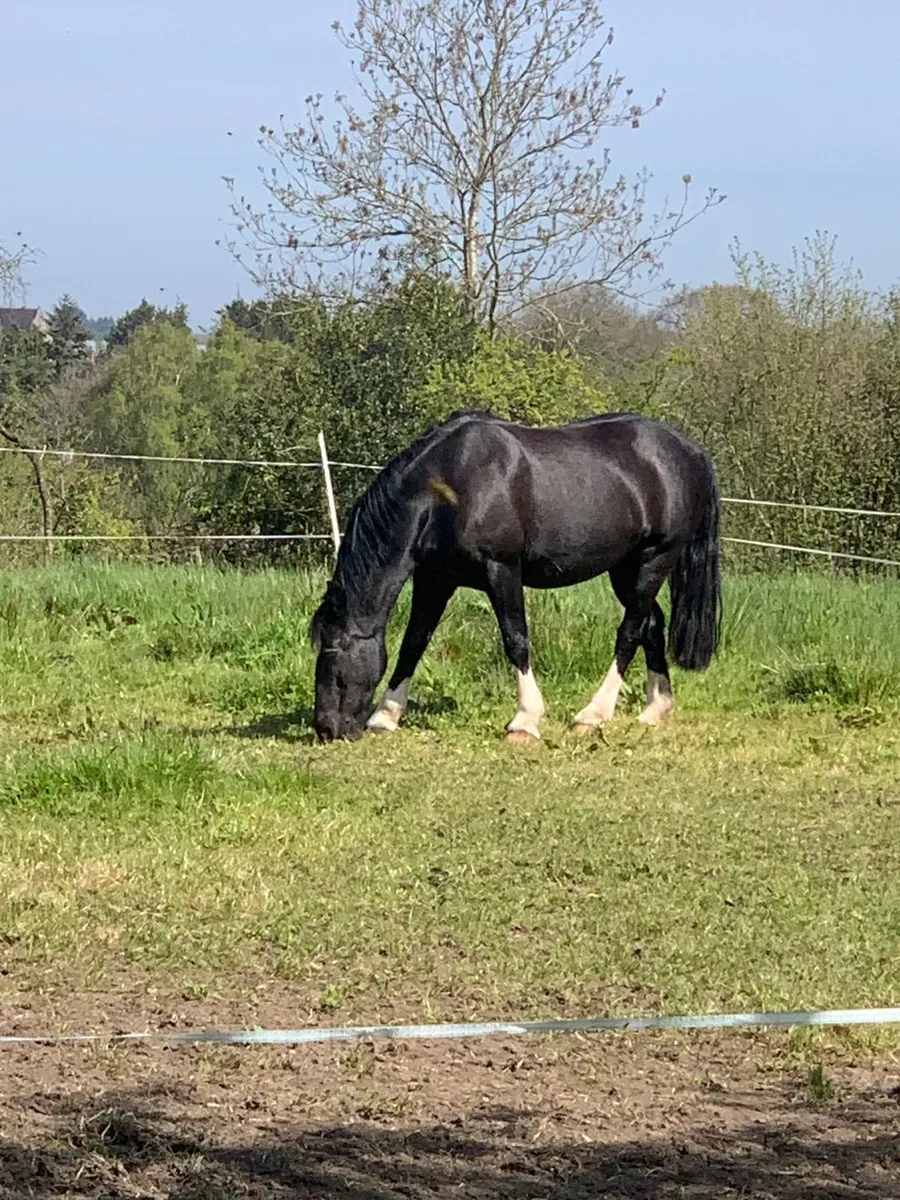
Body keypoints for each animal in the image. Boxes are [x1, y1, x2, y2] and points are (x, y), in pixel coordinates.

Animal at [309, 408, 721, 743]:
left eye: (333, 655)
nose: (326, 728)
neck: (453, 486)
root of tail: (691, 452)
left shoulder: (502, 570)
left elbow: (515, 639)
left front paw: (525, 720)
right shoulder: (435, 579)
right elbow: (414, 642)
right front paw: (386, 715)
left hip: (654, 560)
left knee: (630, 632)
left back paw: (593, 715)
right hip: (626, 569)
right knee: (652, 624)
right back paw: (655, 709)